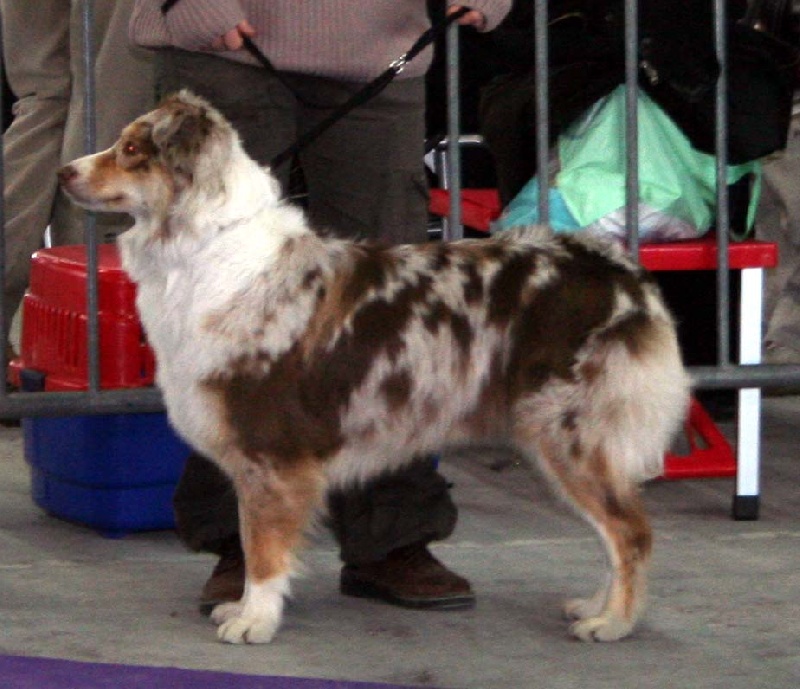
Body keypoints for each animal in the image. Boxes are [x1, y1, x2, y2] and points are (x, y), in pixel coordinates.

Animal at [59, 90, 691, 645]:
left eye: (132, 149)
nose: (65, 172)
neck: (205, 246)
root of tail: (619, 272)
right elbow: (247, 534)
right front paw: (240, 606)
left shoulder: (271, 452)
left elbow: (263, 547)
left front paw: (254, 620)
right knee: (614, 532)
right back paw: (596, 606)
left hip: (569, 433)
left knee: (630, 531)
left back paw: (614, 623)